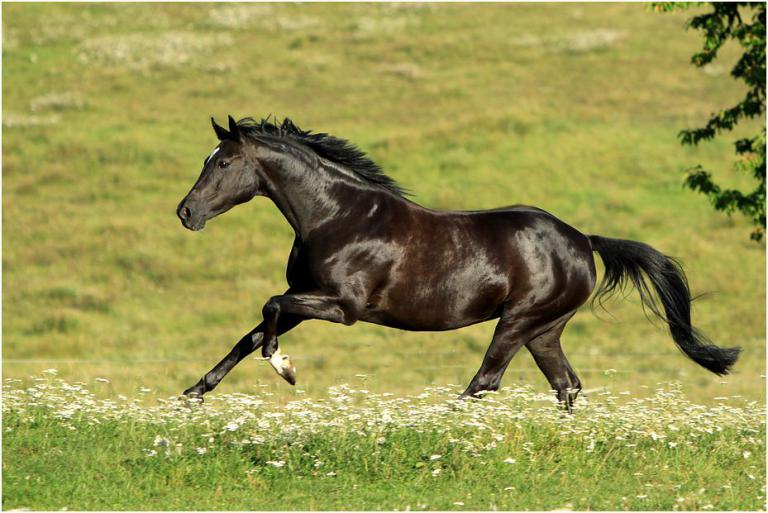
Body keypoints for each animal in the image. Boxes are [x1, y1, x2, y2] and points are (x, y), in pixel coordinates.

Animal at [176, 115, 740, 411]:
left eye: (223, 162)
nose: (185, 212)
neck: (338, 216)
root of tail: (583, 240)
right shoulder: (307, 298)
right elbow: (250, 333)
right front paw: (194, 393)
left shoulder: (342, 307)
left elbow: (268, 310)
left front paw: (285, 367)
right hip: (544, 330)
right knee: (565, 385)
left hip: (519, 320)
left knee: (486, 381)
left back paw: (436, 426)